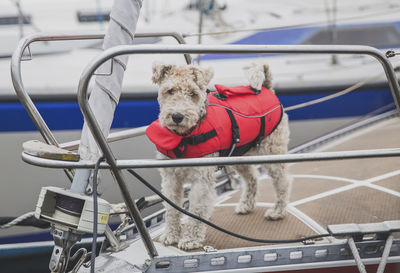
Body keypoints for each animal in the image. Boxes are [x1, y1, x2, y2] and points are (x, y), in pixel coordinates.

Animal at [146, 61, 290, 249]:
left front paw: (190, 239)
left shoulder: (201, 179)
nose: (177, 116)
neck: (185, 137)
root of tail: (268, 88)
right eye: (170, 90)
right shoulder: (171, 178)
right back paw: (246, 205)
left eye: (193, 94)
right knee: (252, 178)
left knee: (283, 182)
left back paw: (277, 212)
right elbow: (171, 208)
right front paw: (170, 235)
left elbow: (196, 209)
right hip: (240, 156)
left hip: (272, 153)